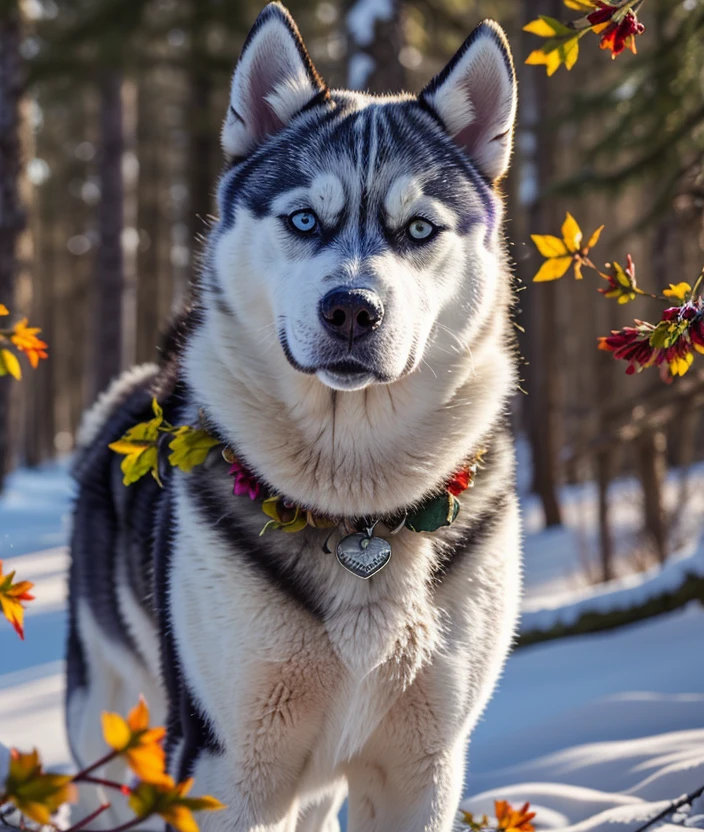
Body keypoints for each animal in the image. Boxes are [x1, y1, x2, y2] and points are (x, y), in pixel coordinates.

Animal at [67, 3, 524, 828]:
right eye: (306, 219)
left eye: (418, 230)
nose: (351, 309)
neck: (359, 506)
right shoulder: (226, 759)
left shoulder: (423, 764)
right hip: (109, 729)